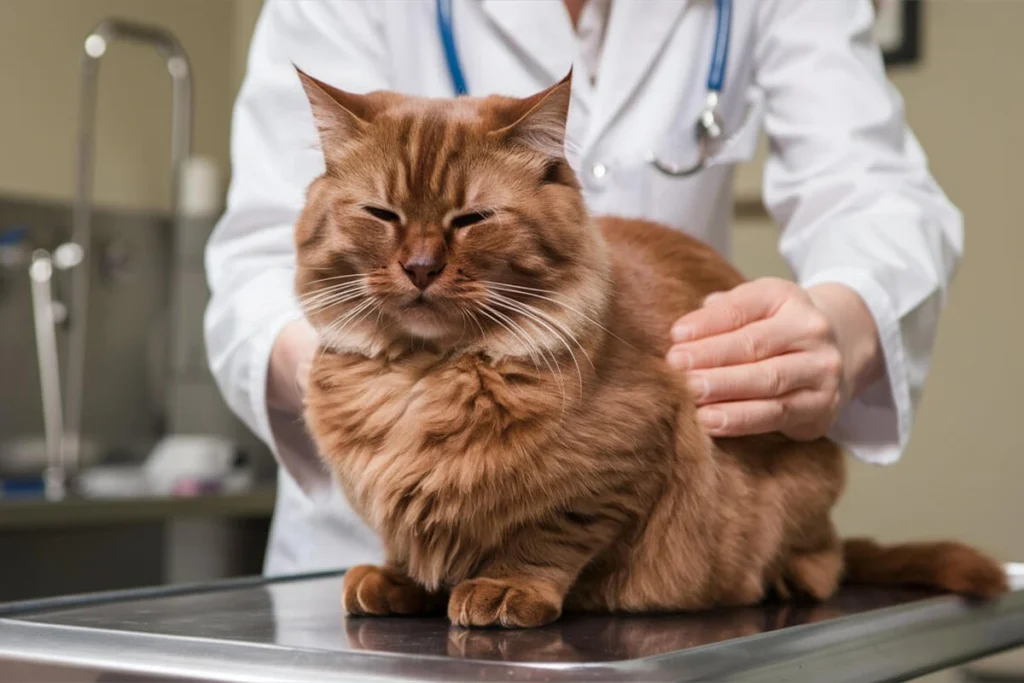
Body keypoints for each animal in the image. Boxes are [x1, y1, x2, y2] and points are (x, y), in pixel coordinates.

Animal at [290, 69, 1007, 630]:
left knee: (825, 560)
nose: (419, 267)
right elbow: (413, 539)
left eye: (471, 219)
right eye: (383, 215)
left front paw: (505, 586)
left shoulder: (626, 458)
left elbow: (546, 536)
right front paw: (398, 576)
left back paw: (786, 577)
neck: (424, 375)